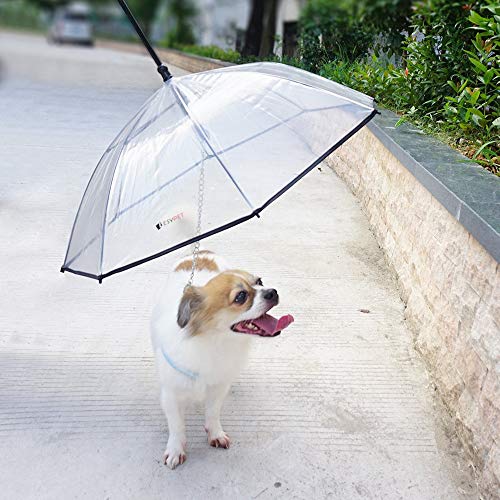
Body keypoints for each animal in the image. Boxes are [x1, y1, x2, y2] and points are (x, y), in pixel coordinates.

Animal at [150, 250, 294, 468]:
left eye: (260, 281)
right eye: (241, 296)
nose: (272, 292)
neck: (215, 342)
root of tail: (202, 252)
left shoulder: (217, 387)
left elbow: (213, 413)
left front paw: (215, 433)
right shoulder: (171, 395)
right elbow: (177, 425)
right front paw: (176, 448)